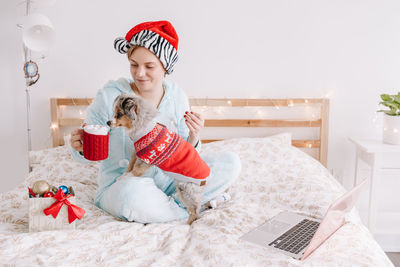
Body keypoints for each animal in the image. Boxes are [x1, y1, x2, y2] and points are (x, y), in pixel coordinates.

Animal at [108, 95, 211, 225]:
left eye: (119, 114)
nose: (107, 122)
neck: (143, 127)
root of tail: (205, 179)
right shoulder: (137, 154)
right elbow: (130, 166)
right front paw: (122, 176)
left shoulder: (146, 159)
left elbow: (135, 171)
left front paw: (125, 178)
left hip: (187, 190)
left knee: (194, 210)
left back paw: (188, 223)